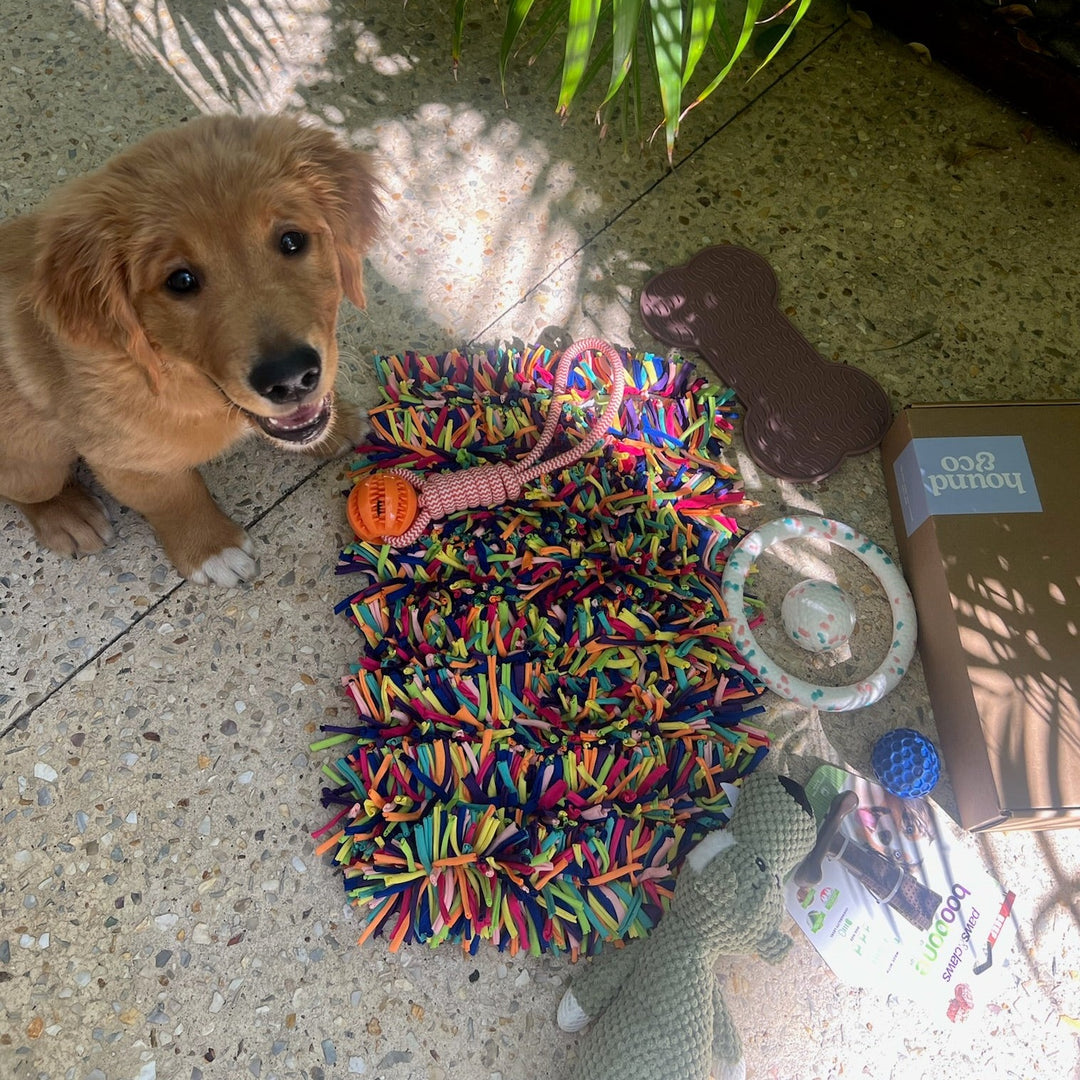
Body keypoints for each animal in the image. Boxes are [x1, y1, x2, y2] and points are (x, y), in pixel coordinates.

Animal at [0, 115, 380, 587]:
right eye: (180, 281)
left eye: (292, 240)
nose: (291, 378)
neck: (173, 372)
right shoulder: (126, 459)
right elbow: (175, 496)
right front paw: (212, 547)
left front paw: (337, 423)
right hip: (36, 462)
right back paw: (68, 514)